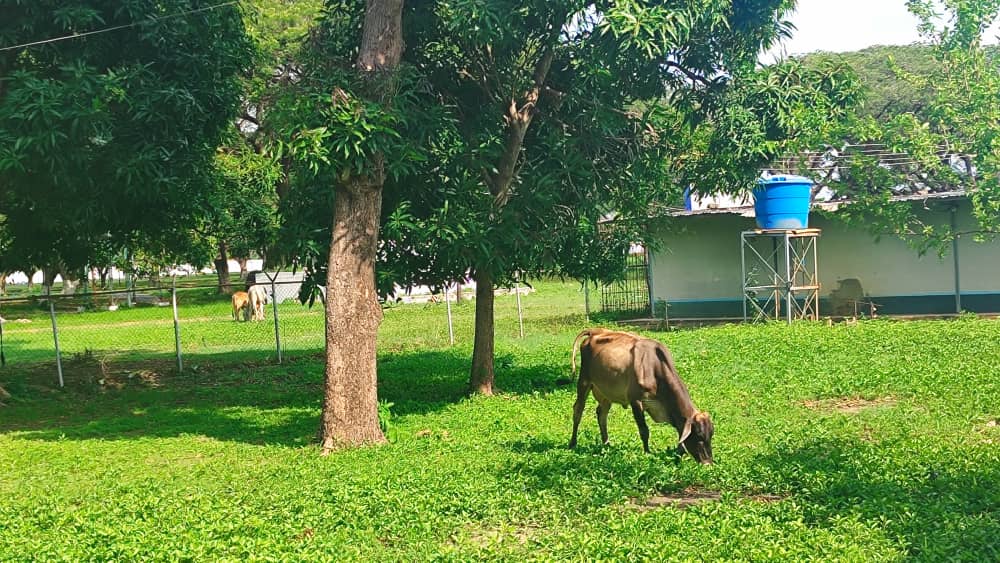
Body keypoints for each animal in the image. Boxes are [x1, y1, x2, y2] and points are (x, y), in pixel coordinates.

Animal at [572, 328, 712, 464]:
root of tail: (595, 331)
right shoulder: (636, 401)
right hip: (584, 381)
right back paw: (572, 444)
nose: (708, 463)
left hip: (605, 392)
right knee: (578, 410)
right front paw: (647, 453)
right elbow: (644, 430)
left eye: (711, 435)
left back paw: (606, 444)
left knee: (602, 414)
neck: (654, 368)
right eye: (699, 436)